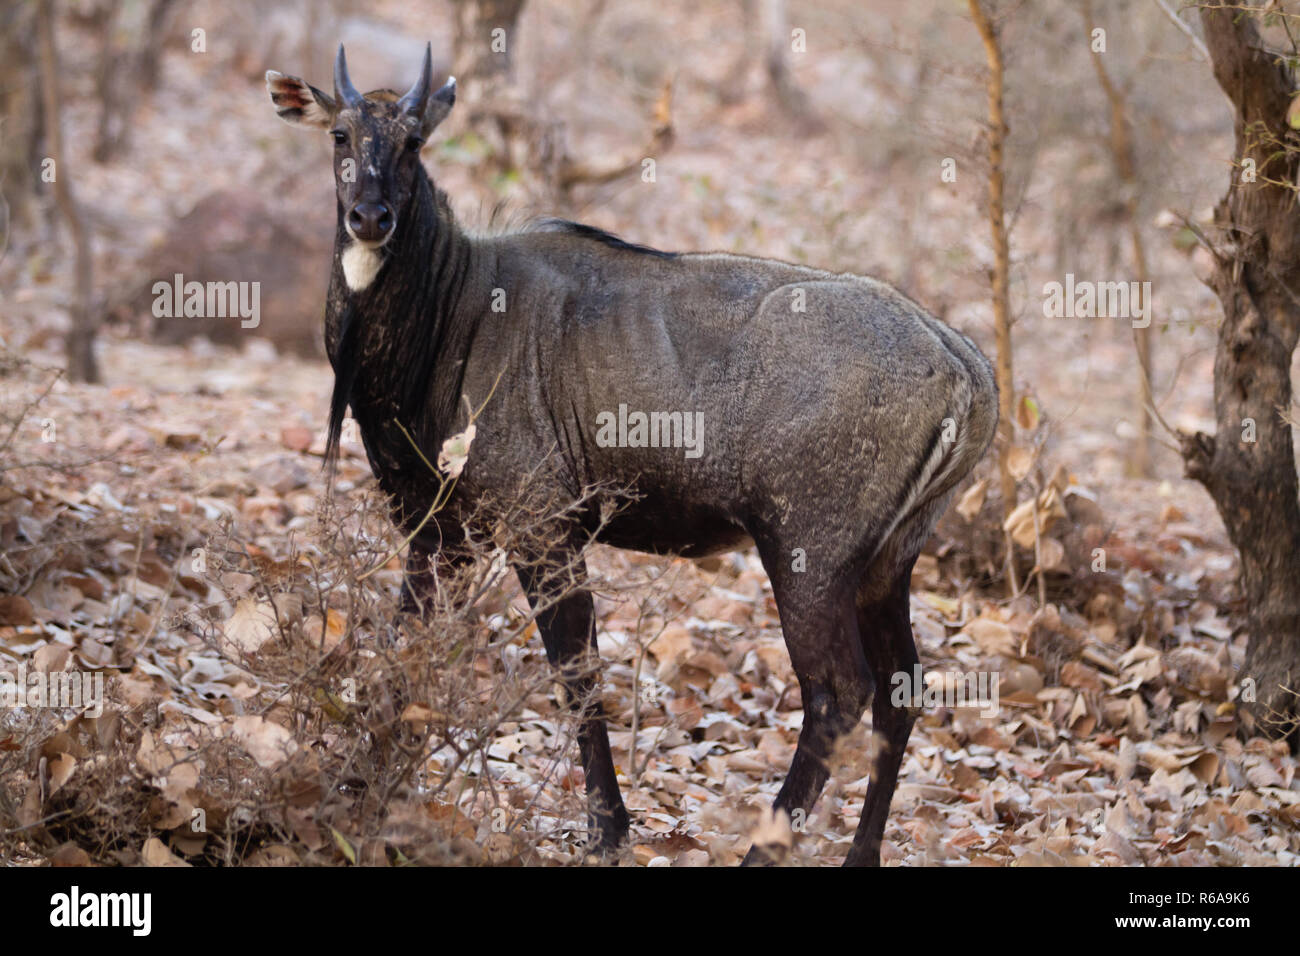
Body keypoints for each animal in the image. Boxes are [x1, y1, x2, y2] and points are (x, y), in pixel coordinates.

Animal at [263, 42, 993, 868]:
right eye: (341, 135)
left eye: (415, 141)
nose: (370, 217)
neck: (448, 315)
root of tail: (964, 365)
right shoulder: (438, 530)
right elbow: (406, 645)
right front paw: (362, 788)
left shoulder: (541, 525)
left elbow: (578, 673)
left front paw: (607, 830)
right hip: (886, 563)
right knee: (901, 690)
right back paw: (859, 855)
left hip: (810, 555)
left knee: (839, 693)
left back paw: (761, 849)